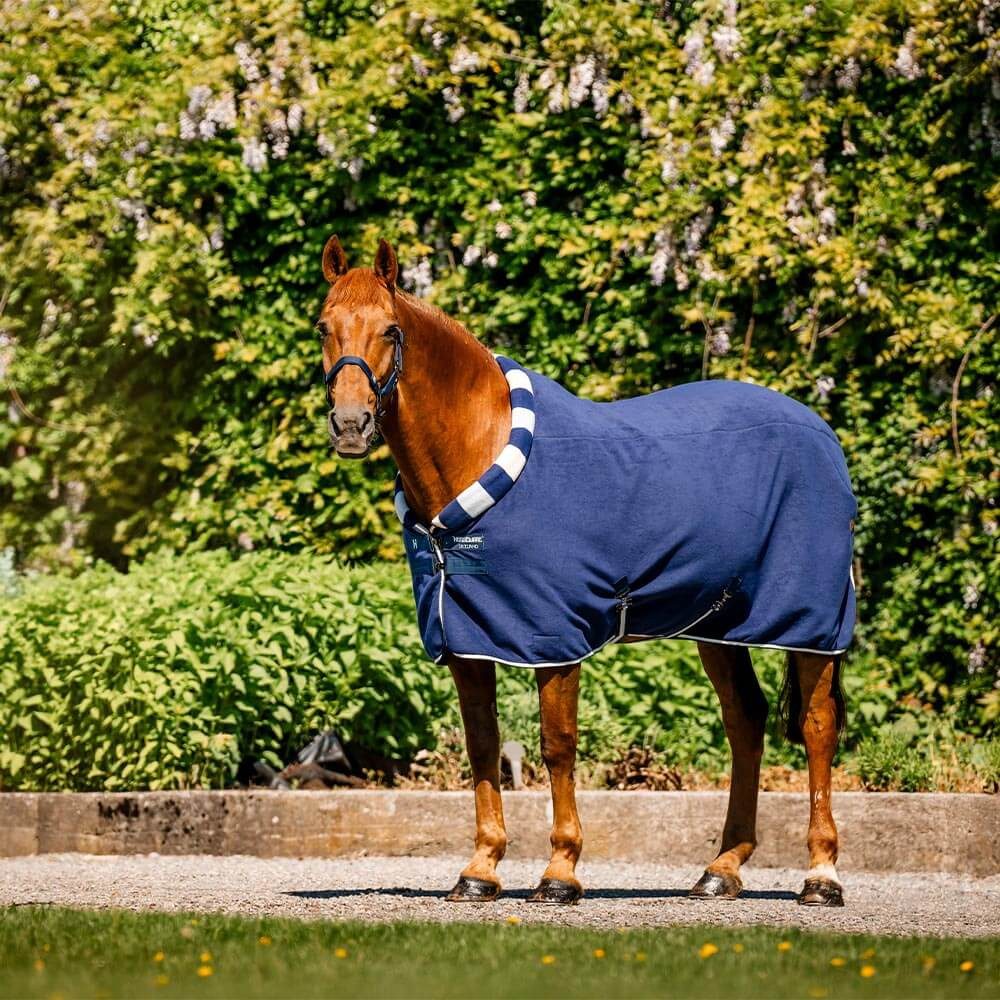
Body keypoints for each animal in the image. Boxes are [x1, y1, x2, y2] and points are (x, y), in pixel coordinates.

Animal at [316, 236, 853, 908]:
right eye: (324, 327)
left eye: (390, 329)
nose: (351, 425)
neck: (485, 453)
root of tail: (820, 432)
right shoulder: (467, 640)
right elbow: (483, 744)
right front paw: (480, 870)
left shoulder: (554, 639)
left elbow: (558, 746)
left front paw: (560, 872)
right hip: (719, 626)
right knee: (745, 722)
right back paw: (722, 869)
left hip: (811, 623)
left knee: (817, 726)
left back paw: (821, 876)